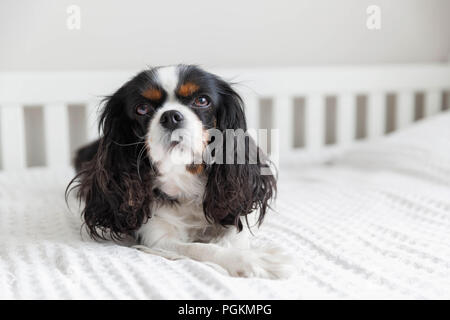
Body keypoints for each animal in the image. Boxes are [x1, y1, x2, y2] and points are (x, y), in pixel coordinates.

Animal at [68, 64, 290, 278]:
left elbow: (235, 236)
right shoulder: (157, 238)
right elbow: (199, 248)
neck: (183, 180)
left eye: (202, 100)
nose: (171, 116)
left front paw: (241, 252)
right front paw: (250, 260)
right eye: (142, 108)